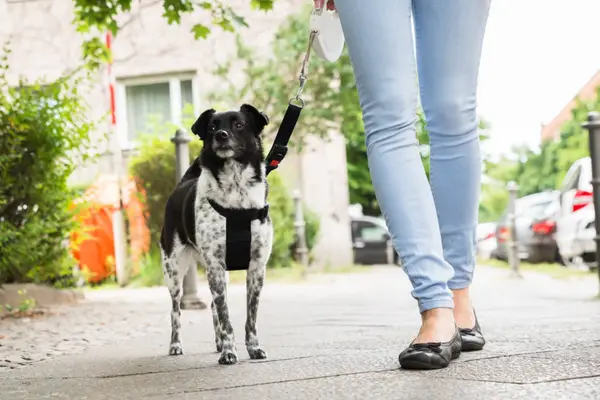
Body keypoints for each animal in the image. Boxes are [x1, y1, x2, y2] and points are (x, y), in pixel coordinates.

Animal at [158, 104, 274, 366]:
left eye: (239, 124)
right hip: (174, 270)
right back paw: (176, 345)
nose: (220, 135)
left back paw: (219, 342)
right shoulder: (215, 266)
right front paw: (230, 352)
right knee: (175, 309)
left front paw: (252, 348)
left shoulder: (256, 267)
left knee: (212, 305)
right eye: (212, 127)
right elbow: (225, 315)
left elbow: (249, 316)